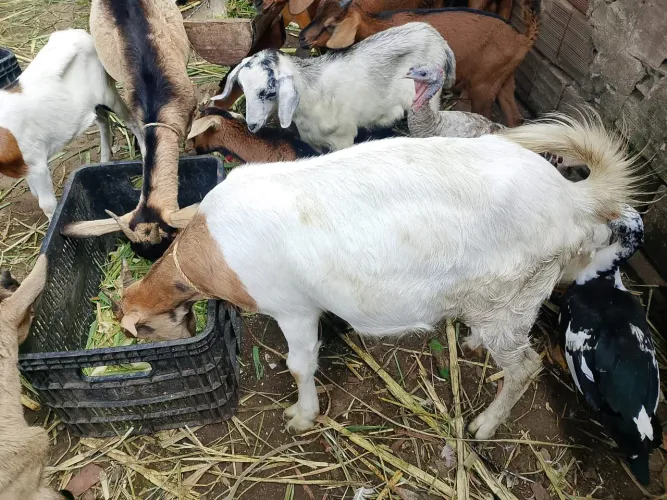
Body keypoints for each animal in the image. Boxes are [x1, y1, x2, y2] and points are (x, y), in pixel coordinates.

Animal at [0, 29, 145, 221]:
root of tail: (81, 33)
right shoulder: (26, 165)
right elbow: (34, 192)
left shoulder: (37, 164)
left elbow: (47, 204)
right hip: (94, 104)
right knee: (103, 120)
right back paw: (103, 160)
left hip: (107, 92)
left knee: (130, 119)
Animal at [115, 113, 638, 438]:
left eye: (142, 333)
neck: (213, 251)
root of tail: (573, 200)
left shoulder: (292, 307)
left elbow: (299, 364)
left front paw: (301, 417)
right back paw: (471, 341)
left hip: (514, 292)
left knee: (526, 366)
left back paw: (485, 425)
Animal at [212, 22, 455, 151]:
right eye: (243, 88)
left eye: (270, 92)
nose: (252, 125)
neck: (313, 95)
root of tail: (435, 35)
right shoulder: (314, 141)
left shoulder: (343, 139)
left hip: (430, 96)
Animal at [299, 0, 540, 126]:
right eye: (317, 11)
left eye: (331, 25)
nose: (301, 38)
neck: (378, 25)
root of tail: (522, 39)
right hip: (503, 78)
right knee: (514, 117)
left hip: (484, 84)